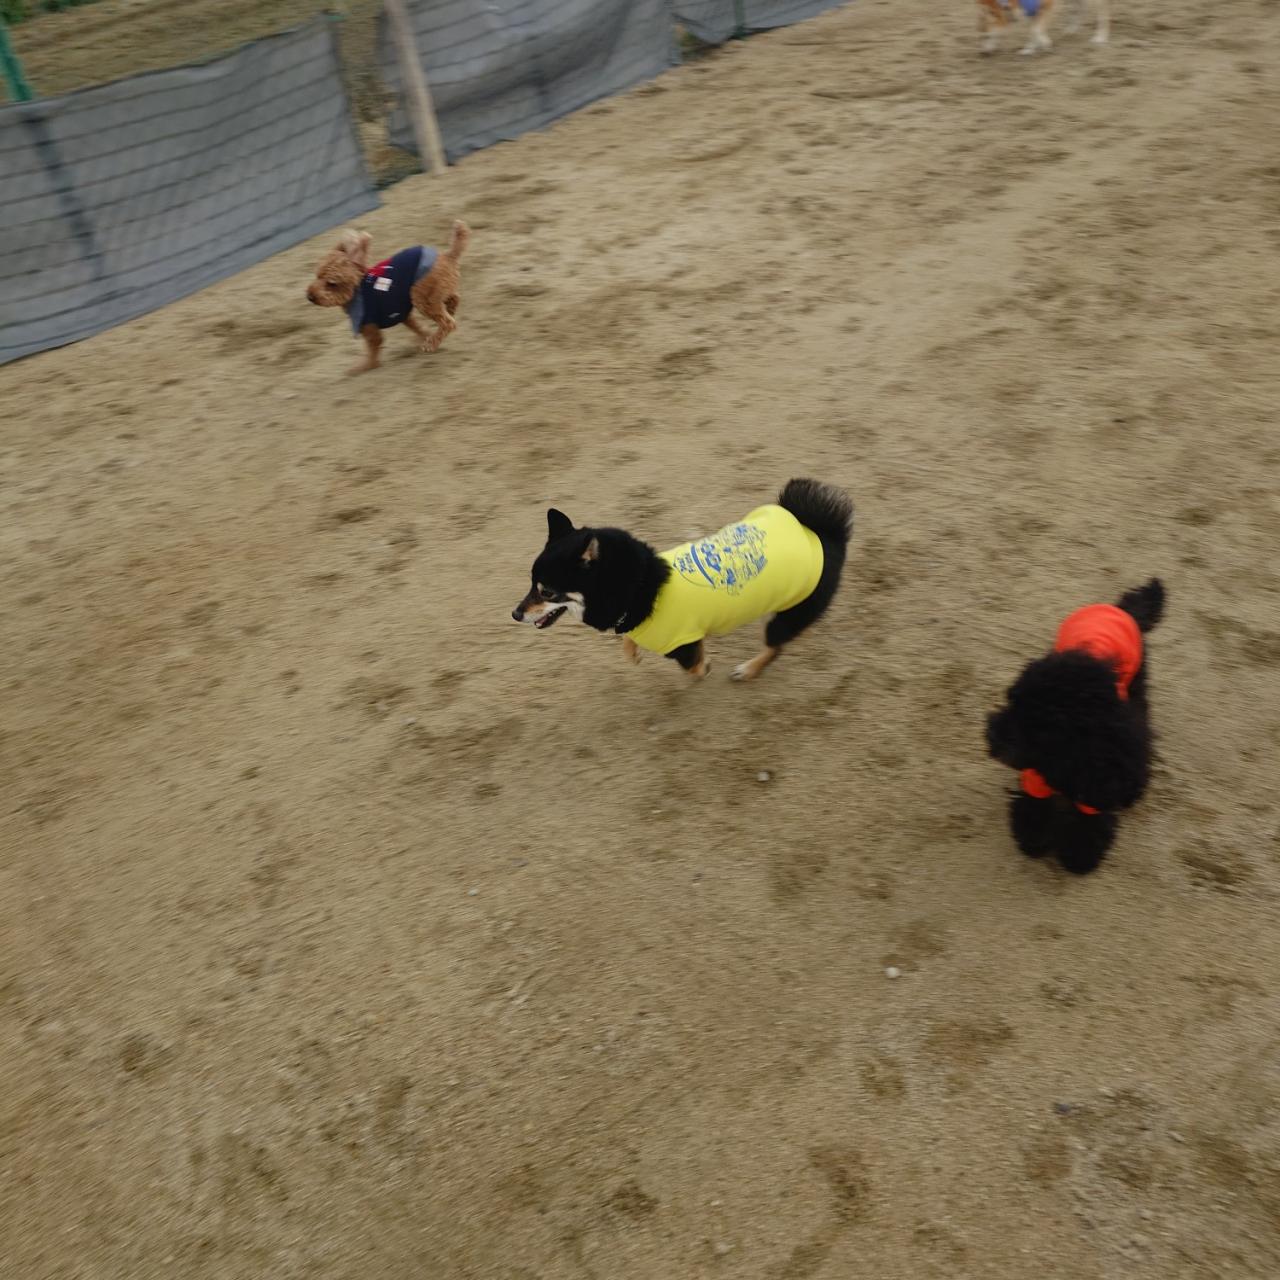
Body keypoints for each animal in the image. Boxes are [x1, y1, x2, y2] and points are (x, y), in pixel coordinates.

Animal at [305, 221, 469, 374]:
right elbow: (417, 327)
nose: (310, 296)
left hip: (422, 297)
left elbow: (373, 349)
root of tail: (448, 256)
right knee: (454, 299)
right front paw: (424, 336)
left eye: (331, 283)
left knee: (448, 322)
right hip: (437, 291)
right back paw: (448, 313)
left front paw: (363, 367)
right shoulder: (403, 315)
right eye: (317, 276)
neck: (358, 291)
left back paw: (431, 344)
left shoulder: (369, 326)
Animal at [512, 479, 854, 681]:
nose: (515, 613)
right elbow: (628, 638)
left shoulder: (683, 642)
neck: (641, 585)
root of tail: (825, 534)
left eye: (547, 592)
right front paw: (632, 653)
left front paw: (704, 667)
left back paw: (748, 669)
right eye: (530, 584)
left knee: (776, 645)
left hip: (787, 614)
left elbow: (692, 666)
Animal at [977, 0, 1110, 55]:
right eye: (981, 37)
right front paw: (1029, 49)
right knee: (1080, 9)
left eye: (986, 36)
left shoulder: (1048, 6)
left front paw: (1045, 44)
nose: (982, 53)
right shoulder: (1032, 13)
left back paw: (1100, 37)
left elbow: (1035, 30)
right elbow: (1032, 31)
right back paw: (1070, 31)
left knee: (1102, 14)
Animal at [985, 578, 1165, 874]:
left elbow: (1089, 825)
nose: (991, 739)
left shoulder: (1098, 786)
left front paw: (1079, 857)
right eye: (1012, 702)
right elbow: (1034, 807)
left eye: (1043, 726)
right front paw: (1034, 840)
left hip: (1138, 681)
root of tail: (1116, 608)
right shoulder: (1035, 776)